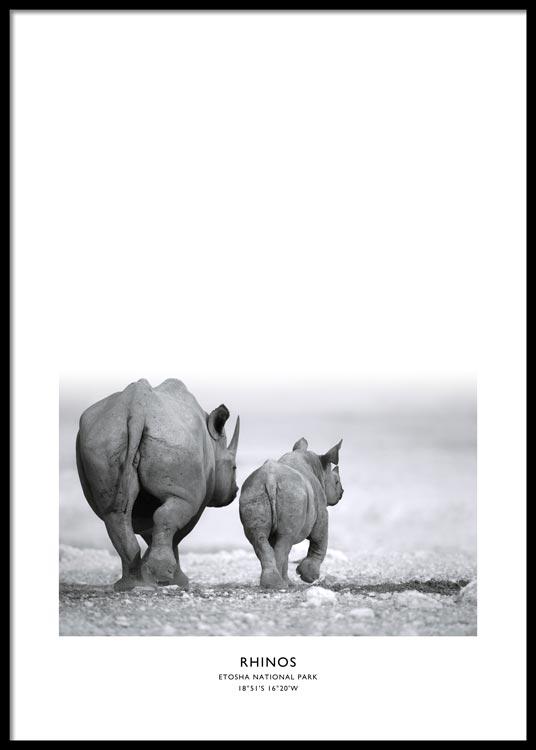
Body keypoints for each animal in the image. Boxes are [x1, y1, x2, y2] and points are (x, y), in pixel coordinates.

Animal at [76, 378, 239, 590]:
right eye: (234, 467)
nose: (235, 491)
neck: (213, 444)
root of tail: (136, 407)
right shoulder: (196, 495)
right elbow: (177, 532)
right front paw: (176, 580)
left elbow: (150, 530)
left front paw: (153, 574)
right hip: (173, 439)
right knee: (165, 514)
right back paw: (159, 577)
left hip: (103, 437)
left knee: (114, 515)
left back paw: (129, 584)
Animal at [238, 437, 343, 589]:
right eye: (336, 482)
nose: (342, 493)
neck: (319, 469)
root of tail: (270, 480)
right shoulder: (321, 511)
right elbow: (319, 540)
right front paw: (308, 577)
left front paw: (292, 580)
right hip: (292, 494)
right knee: (285, 540)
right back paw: (281, 585)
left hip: (253, 491)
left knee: (261, 539)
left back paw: (273, 584)